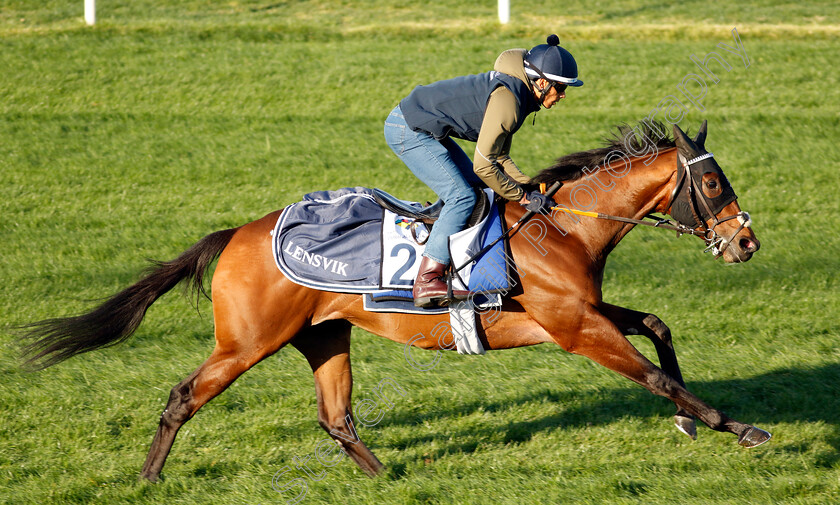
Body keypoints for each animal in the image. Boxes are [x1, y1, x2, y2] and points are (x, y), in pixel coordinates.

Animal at [19, 119, 768, 480]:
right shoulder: (574, 328)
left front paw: (689, 421)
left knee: (337, 417)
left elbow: (657, 325)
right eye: (713, 185)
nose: (747, 242)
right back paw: (148, 478)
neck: (558, 229)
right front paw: (733, 425)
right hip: (246, 341)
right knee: (184, 396)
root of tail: (236, 233)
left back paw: (386, 479)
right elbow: (652, 374)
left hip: (323, 335)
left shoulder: (579, 314)